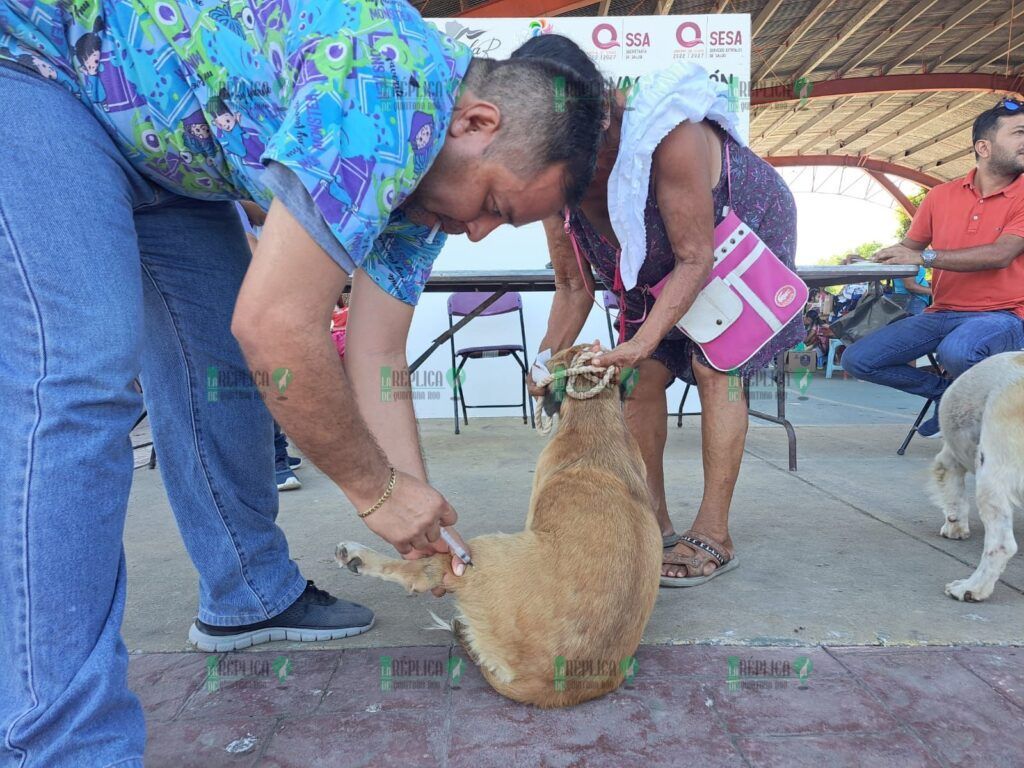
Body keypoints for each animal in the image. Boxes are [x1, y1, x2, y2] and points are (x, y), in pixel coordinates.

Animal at [933, 352, 1024, 606]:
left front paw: (953, 527)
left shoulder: (949, 459)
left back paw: (970, 588)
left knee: (1001, 545)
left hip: (990, 475)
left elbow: (954, 497)